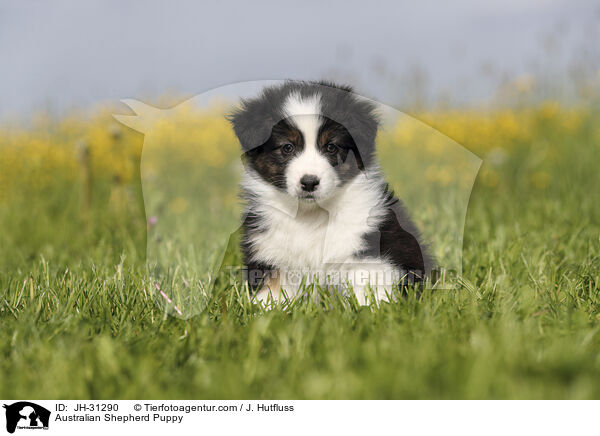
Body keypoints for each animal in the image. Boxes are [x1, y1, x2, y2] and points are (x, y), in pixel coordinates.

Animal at [226, 82, 432, 306]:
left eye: (331, 147)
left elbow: (368, 290)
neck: (311, 215)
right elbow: (271, 294)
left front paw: (370, 311)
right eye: (287, 147)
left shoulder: (367, 250)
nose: (309, 182)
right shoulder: (269, 253)